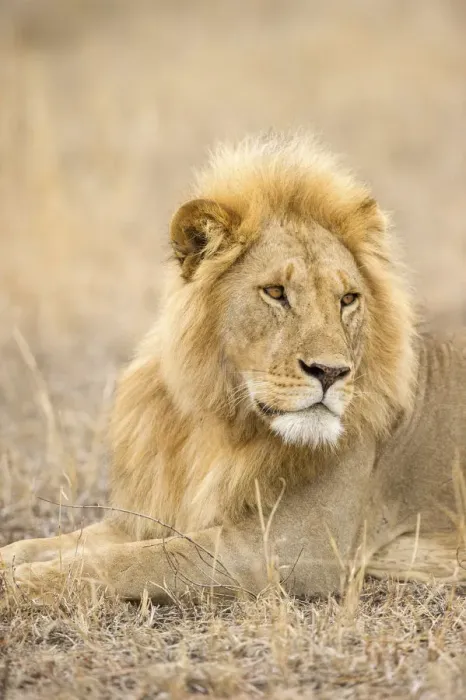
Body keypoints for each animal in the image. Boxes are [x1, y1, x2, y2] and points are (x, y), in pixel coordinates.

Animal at [1, 132, 465, 602]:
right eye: (276, 292)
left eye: (348, 299)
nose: (332, 373)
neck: (218, 422)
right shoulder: (149, 515)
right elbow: (56, 542)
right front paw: (17, 562)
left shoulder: (300, 547)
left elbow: (145, 559)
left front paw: (34, 580)